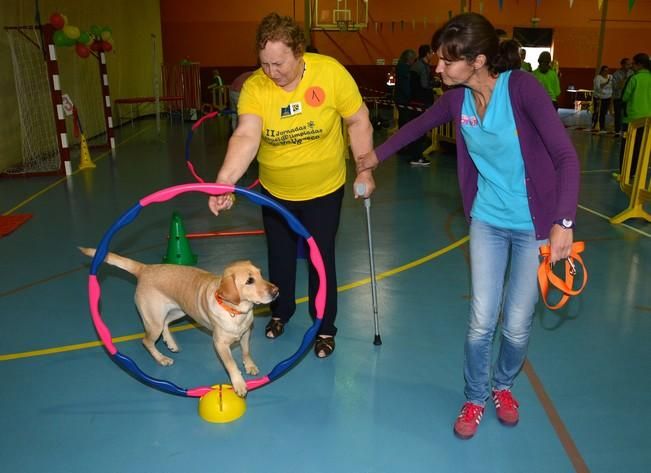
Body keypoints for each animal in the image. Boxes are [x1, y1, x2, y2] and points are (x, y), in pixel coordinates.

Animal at [79, 245, 278, 396]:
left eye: (260, 274)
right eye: (249, 281)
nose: (276, 291)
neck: (235, 311)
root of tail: (144, 269)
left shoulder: (246, 333)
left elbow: (246, 352)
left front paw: (250, 366)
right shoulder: (220, 344)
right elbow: (231, 364)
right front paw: (239, 383)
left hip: (179, 310)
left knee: (166, 324)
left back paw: (171, 343)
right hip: (154, 321)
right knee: (147, 341)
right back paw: (162, 359)